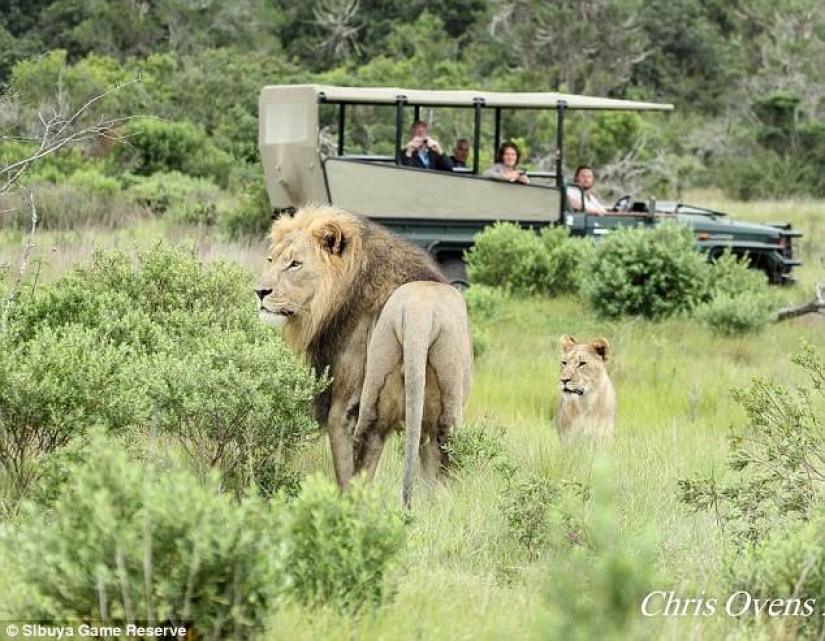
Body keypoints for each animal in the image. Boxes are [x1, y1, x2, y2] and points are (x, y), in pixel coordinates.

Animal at [254, 204, 473, 507]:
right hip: (446, 412)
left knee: (364, 465)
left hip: (373, 402)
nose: (260, 292)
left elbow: (344, 471)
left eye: (295, 264)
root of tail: (420, 312)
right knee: (437, 469)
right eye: (270, 259)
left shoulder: (342, 405)